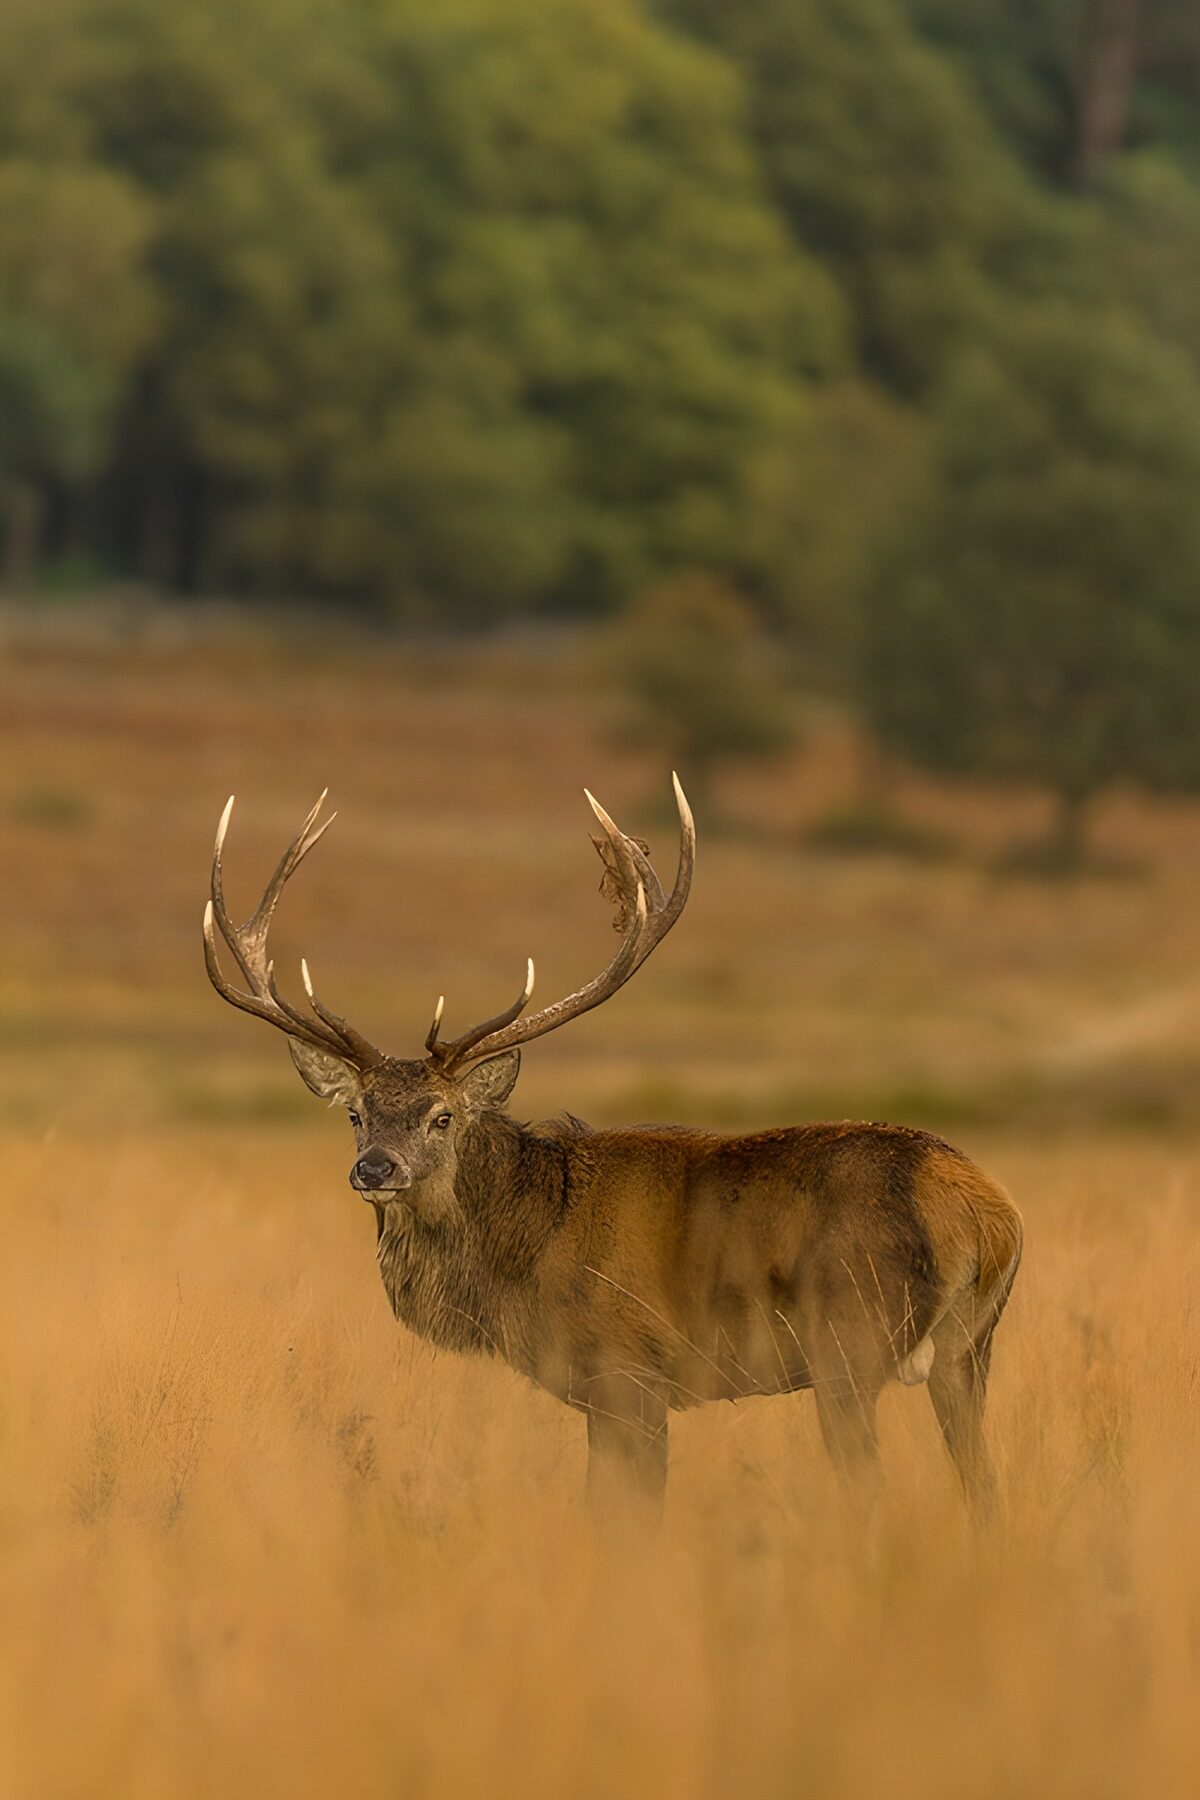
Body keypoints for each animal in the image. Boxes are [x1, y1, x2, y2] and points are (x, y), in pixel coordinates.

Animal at [202, 778, 1022, 1518]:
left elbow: (621, 1513)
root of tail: (990, 1219)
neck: (522, 1257)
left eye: (442, 1117)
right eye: (356, 1113)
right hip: (968, 1351)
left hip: (849, 1340)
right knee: (983, 1487)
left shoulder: (627, 1370)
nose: (374, 1168)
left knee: (872, 1491)